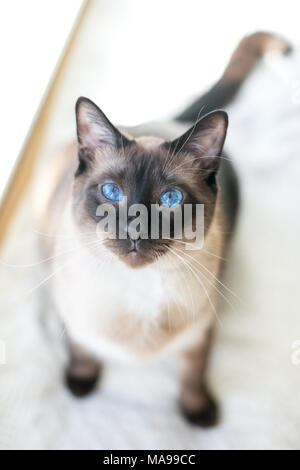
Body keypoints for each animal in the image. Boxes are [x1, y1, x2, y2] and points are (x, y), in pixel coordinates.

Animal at [39, 31, 290, 426]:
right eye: (112, 192)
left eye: (171, 199)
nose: (135, 230)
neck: (139, 291)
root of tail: (163, 119)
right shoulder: (71, 314)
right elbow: (81, 349)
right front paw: (81, 383)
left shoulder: (202, 331)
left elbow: (193, 373)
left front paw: (198, 412)